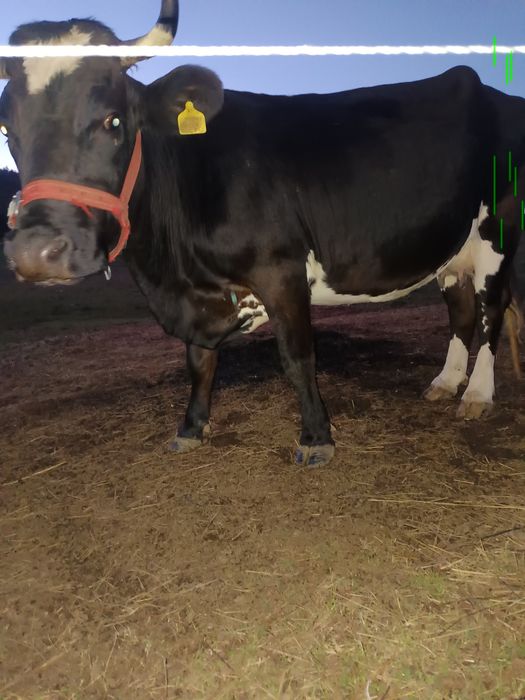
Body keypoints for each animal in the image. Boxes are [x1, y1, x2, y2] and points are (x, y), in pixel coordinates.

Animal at [1, 0, 523, 467]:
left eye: (113, 121)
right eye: (7, 130)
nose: (36, 253)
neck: (172, 271)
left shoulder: (281, 269)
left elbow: (297, 356)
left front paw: (316, 439)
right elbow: (199, 361)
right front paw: (191, 428)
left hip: (497, 233)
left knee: (490, 312)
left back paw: (477, 394)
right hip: (453, 249)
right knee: (460, 311)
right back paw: (445, 383)